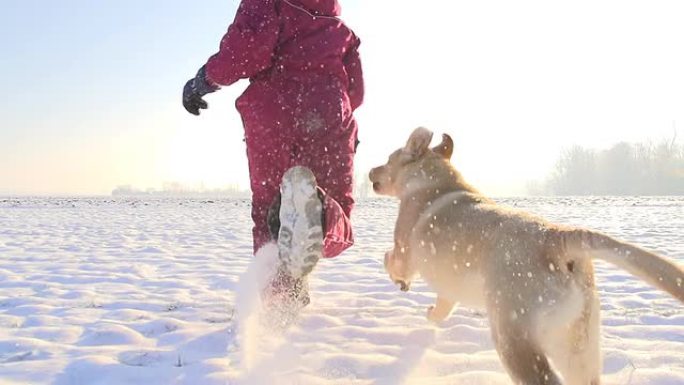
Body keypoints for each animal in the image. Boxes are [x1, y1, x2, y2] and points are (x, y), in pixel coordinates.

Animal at [368, 127, 684, 384]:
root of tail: (558, 237)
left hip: (514, 337)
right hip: (578, 344)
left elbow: (392, 260)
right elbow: (443, 306)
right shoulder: (448, 286)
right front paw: (431, 314)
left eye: (388, 159)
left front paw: (397, 279)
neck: (435, 179)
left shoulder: (404, 249)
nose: (370, 171)